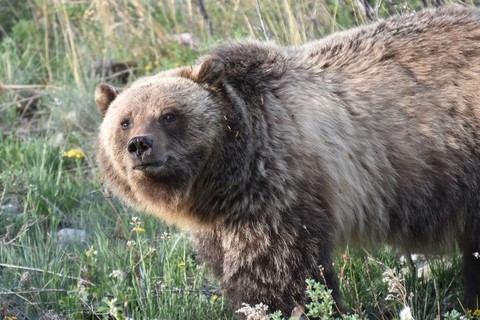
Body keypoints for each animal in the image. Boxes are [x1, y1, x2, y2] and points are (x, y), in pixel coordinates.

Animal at [95, 5, 480, 318]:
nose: (140, 146)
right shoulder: (220, 222)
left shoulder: (279, 191)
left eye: (169, 115)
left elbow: (280, 272)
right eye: (125, 120)